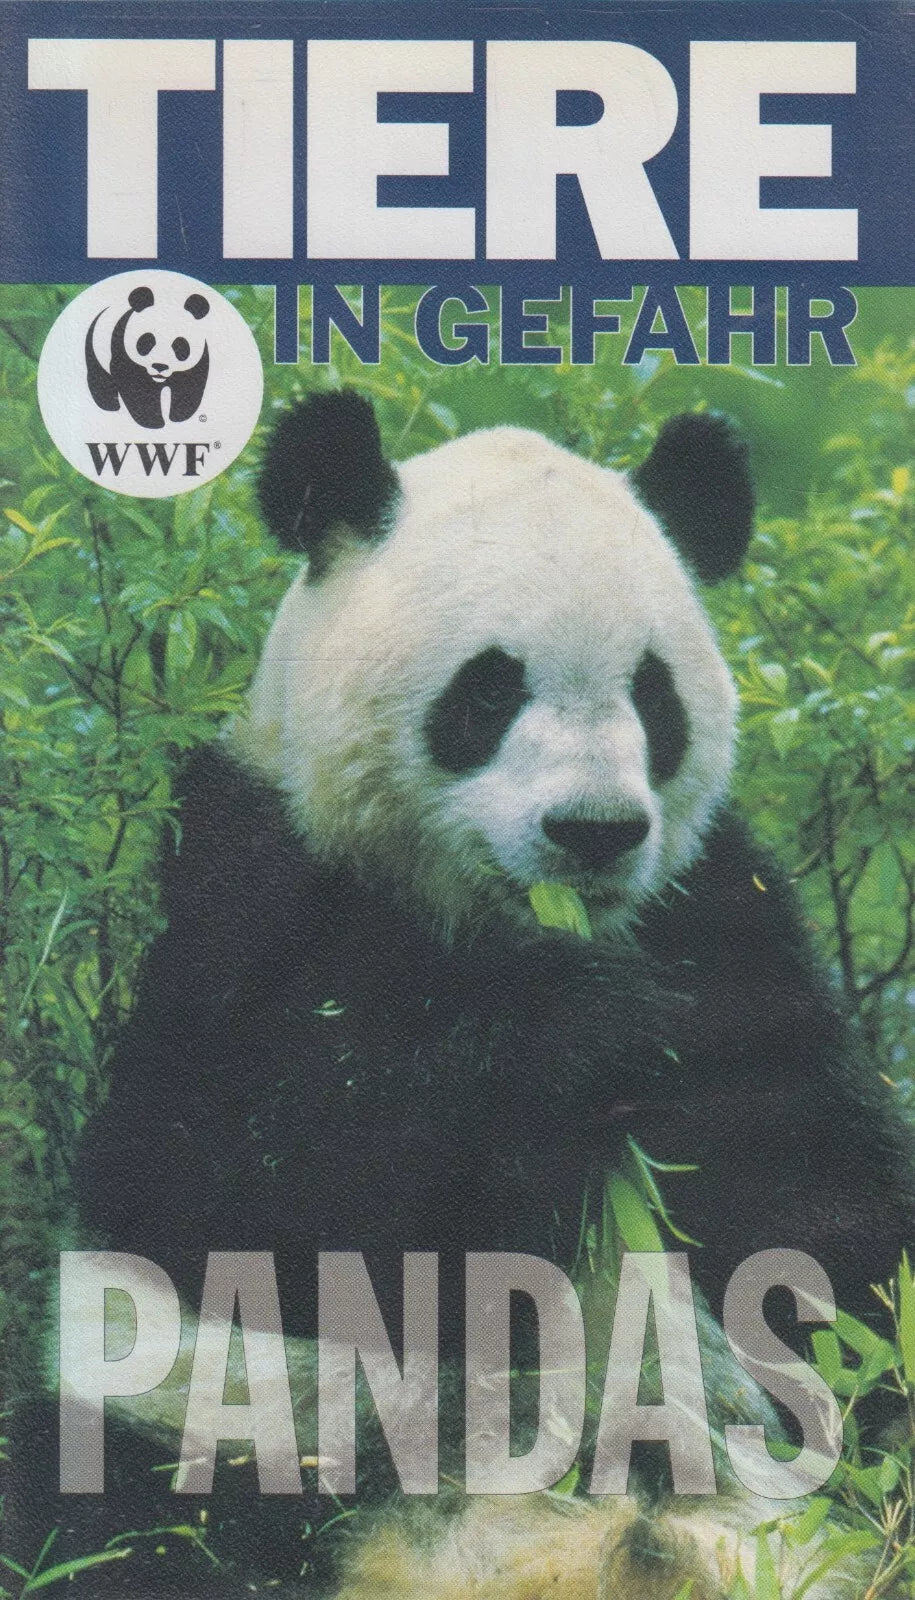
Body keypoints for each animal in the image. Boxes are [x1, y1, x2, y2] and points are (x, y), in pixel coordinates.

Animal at [9, 391, 914, 1599]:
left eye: (653, 695)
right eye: (489, 688)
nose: (594, 831)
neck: (502, 928)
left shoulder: (723, 914)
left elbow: (829, 1214)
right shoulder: (248, 890)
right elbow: (243, 1183)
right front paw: (591, 1034)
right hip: (216, 1435)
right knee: (98, 1509)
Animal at [85, 284, 210, 430]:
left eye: (180, 345)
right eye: (147, 341)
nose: (160, 366)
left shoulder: (197, 360)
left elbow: (188, 386)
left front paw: (179, 417)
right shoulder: (123, 350)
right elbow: (137, 389)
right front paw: (153, 422)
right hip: (93, 346)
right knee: (100, 377)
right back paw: (110, 406)